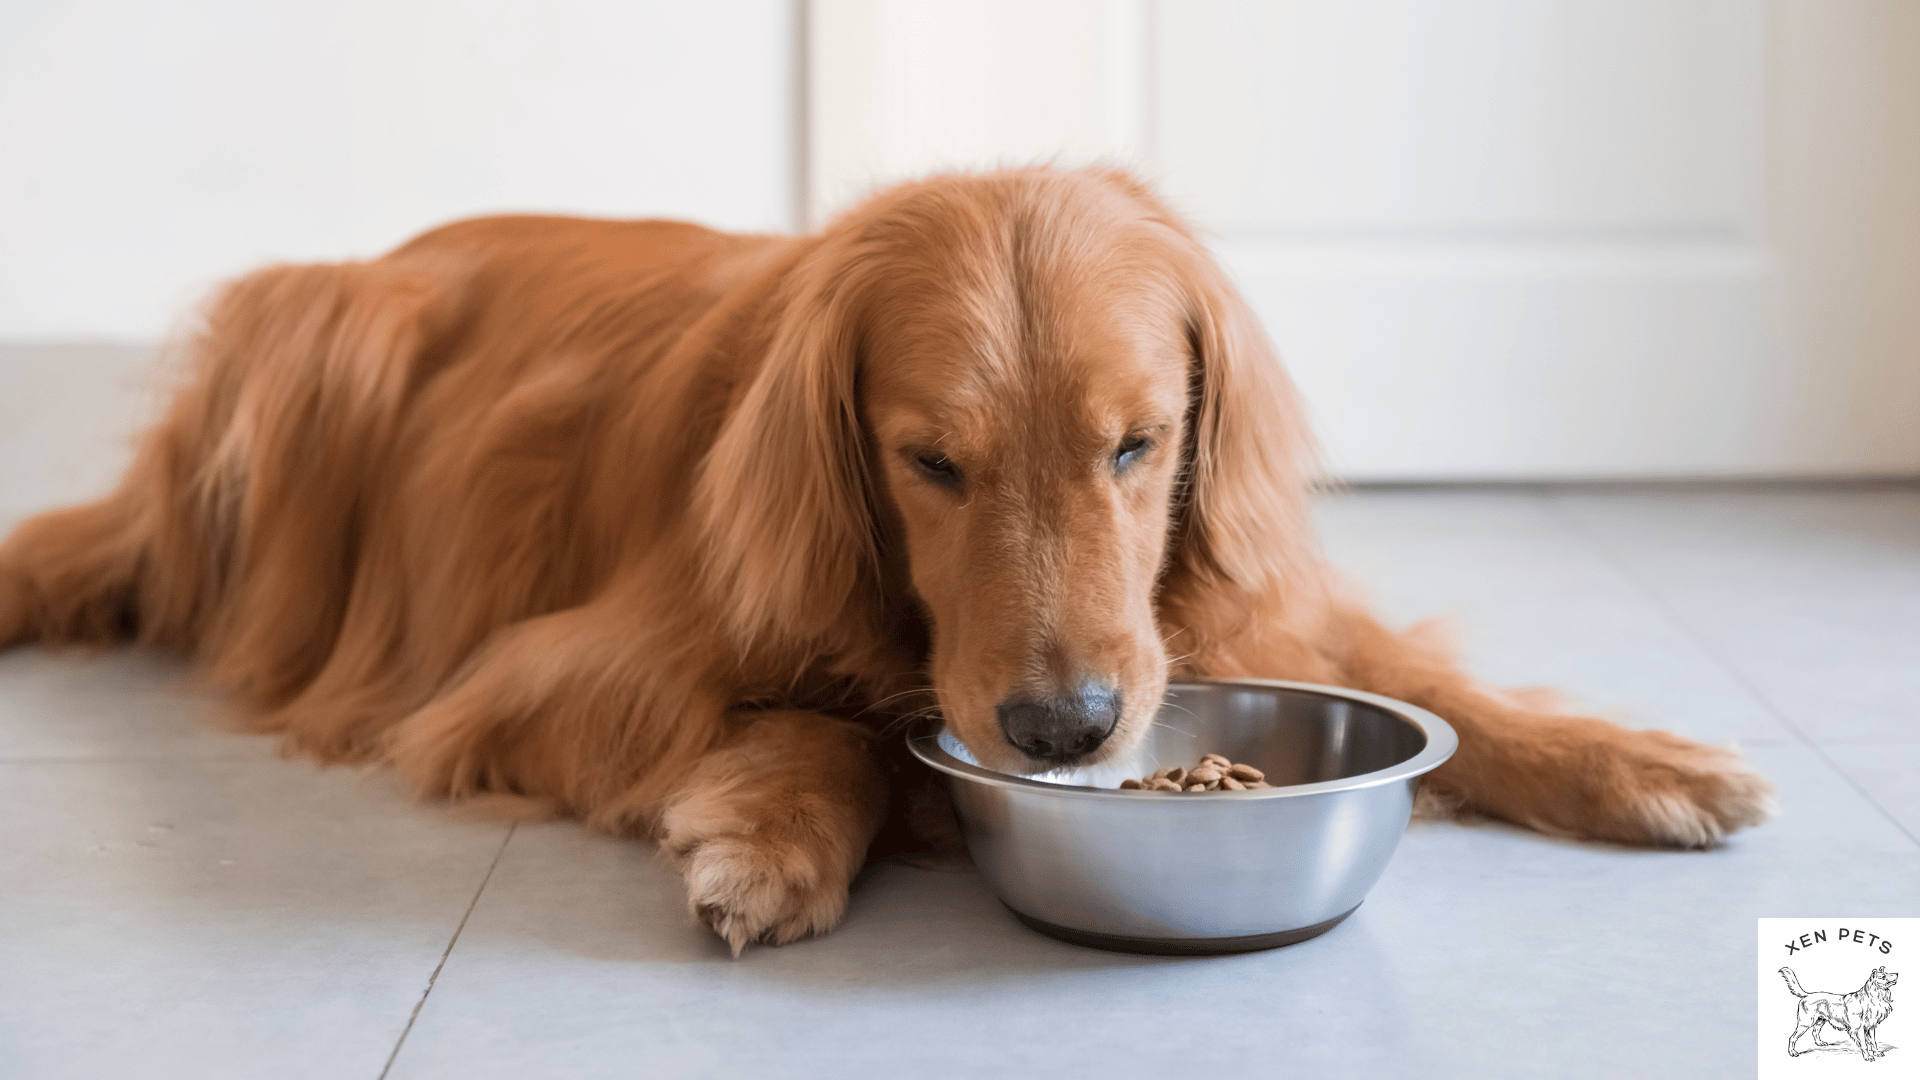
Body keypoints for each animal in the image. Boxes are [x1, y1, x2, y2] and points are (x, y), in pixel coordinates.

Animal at [0, 164, 1766, 945]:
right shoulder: (547, 678)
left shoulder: (1223, 607)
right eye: (931, 464)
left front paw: (1637, 760)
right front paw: (776, 836)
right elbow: (837, 727)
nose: (1064, 731)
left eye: (1138, 445)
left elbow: (1416, 679)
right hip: (320, 344)